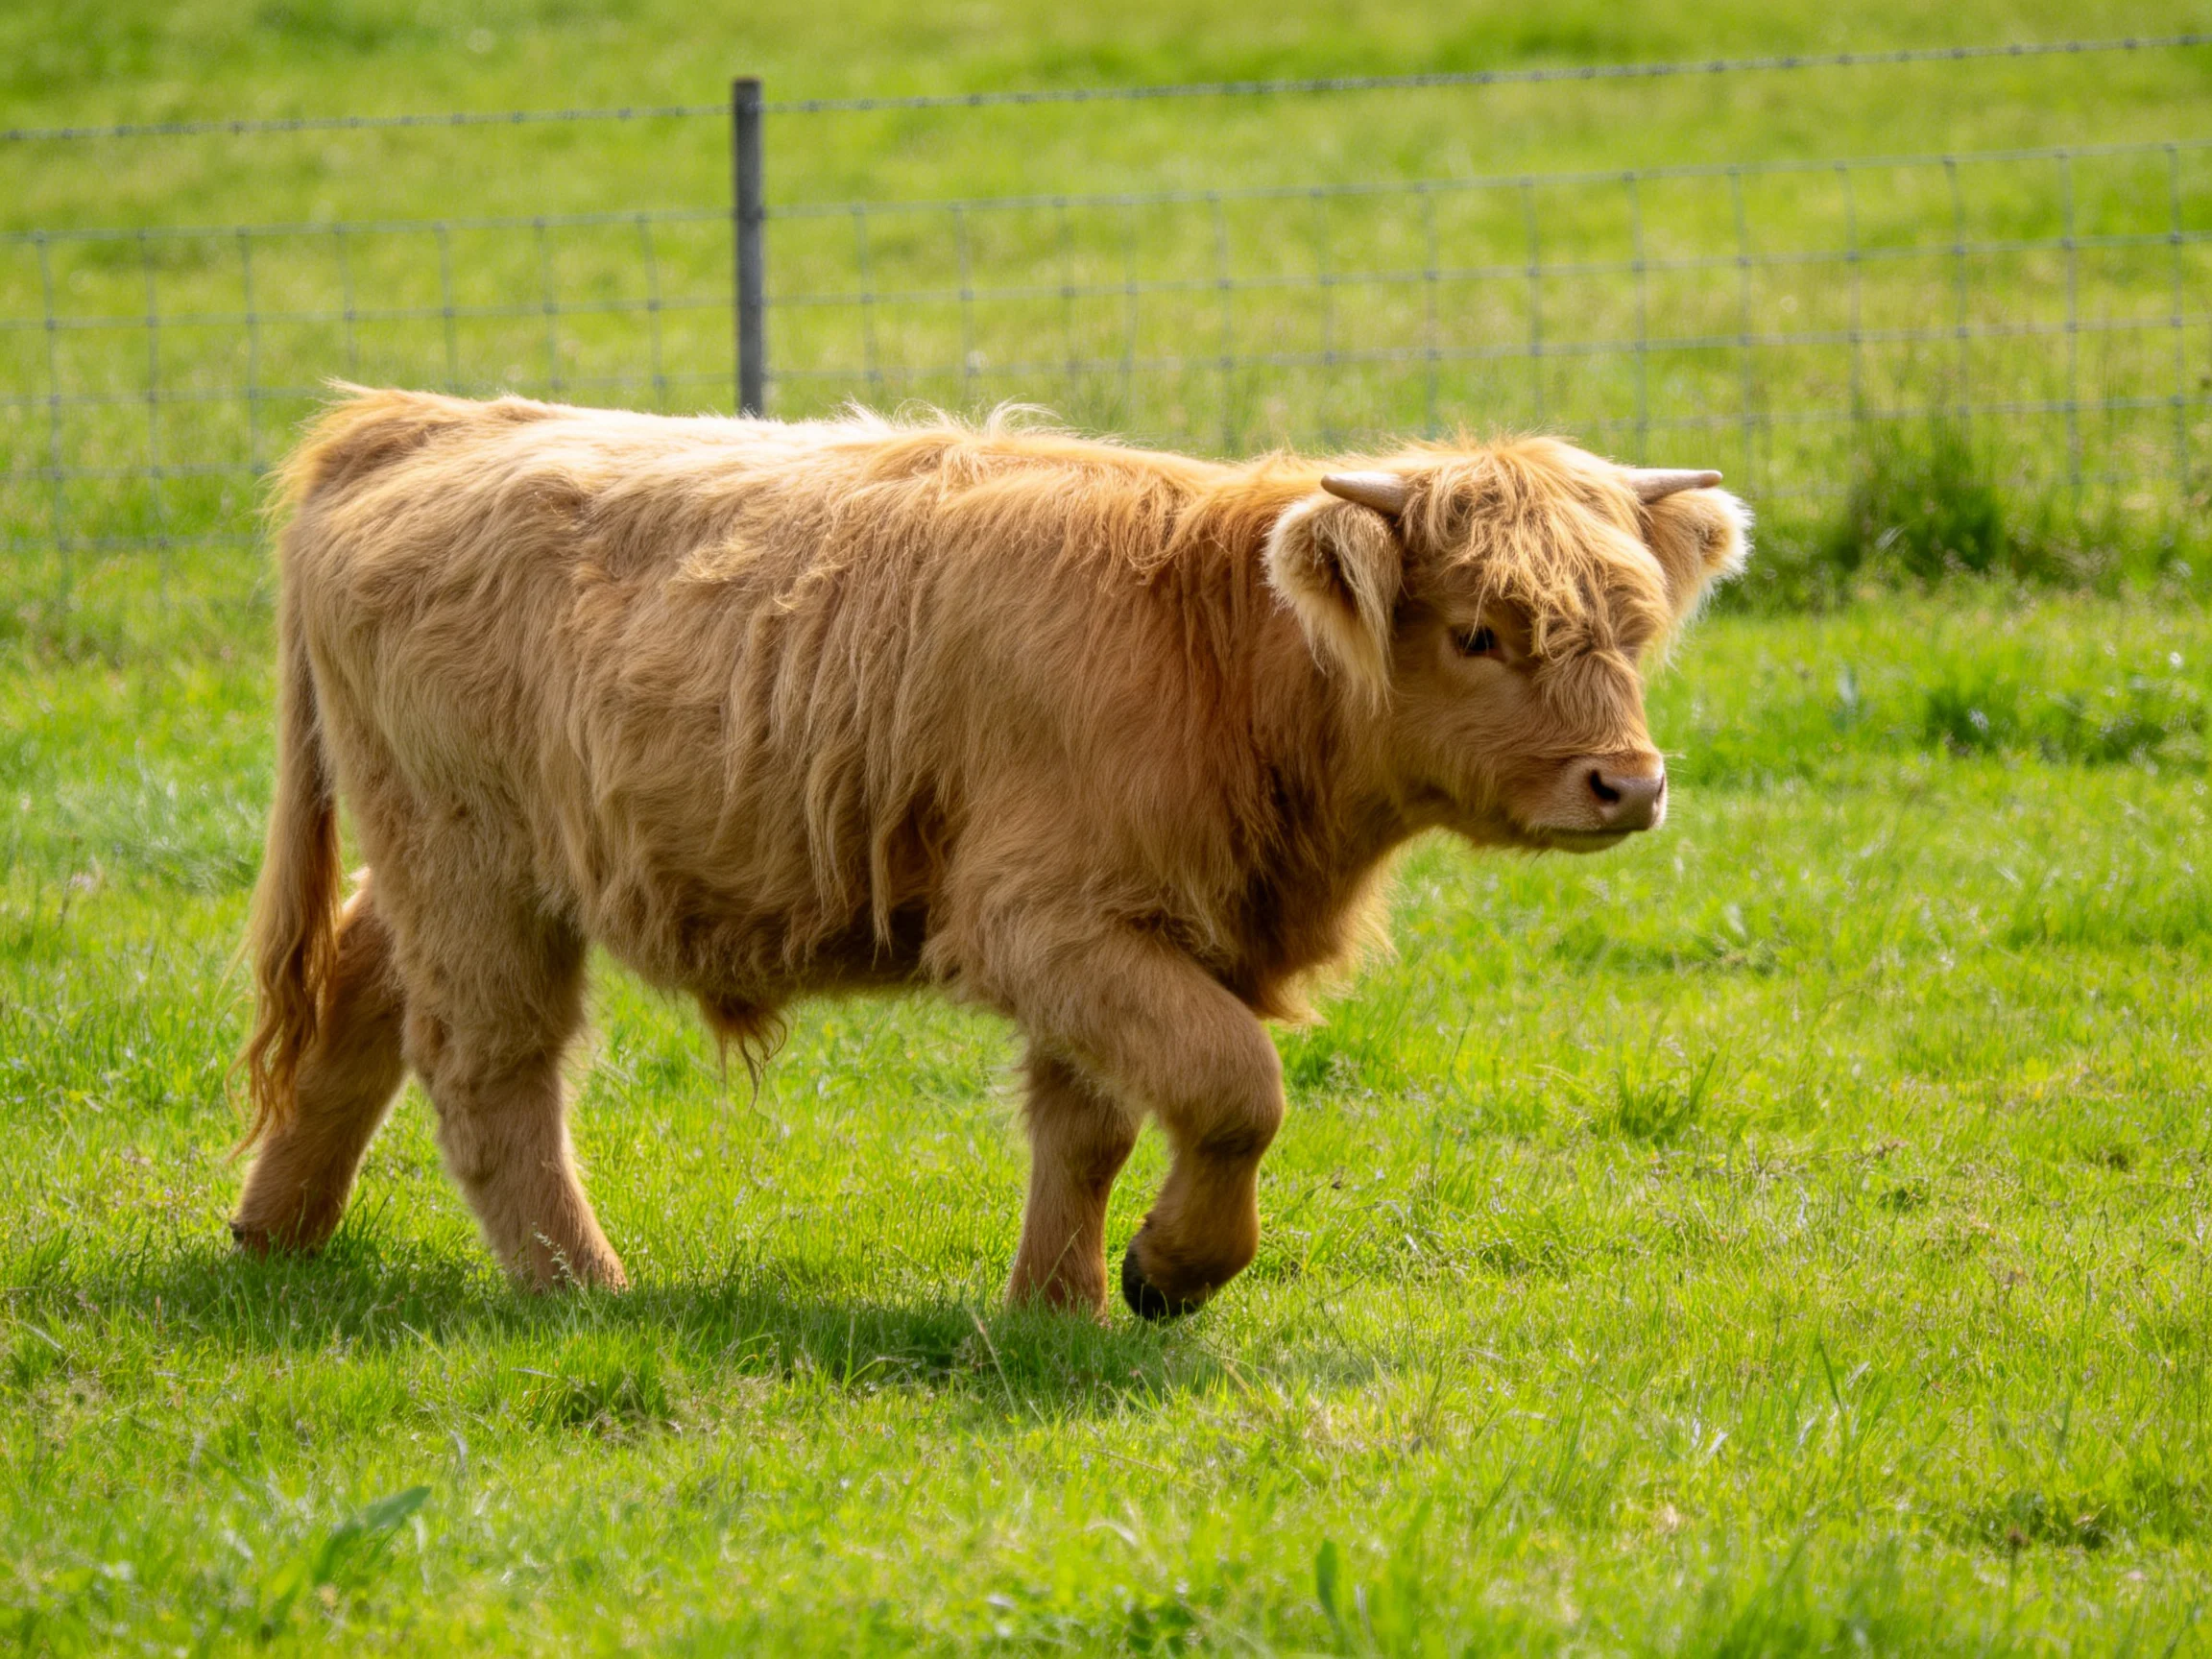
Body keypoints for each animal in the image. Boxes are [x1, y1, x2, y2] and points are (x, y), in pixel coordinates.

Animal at [231, 388, 1748, 1319]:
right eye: (1482, 631)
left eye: (1629, 624)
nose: (1629, 783)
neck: (1220, 652)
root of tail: (421, 423)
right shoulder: (1045, 919)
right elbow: (1234, 1087)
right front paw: (1174, 1273)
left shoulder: (1146, 934)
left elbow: (1094, 1122)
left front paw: (1057, 1306)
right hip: (477, 860)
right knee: (489, 1066)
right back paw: (580, 1290)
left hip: (432, 859)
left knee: (357, 989)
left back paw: (275, 1235)